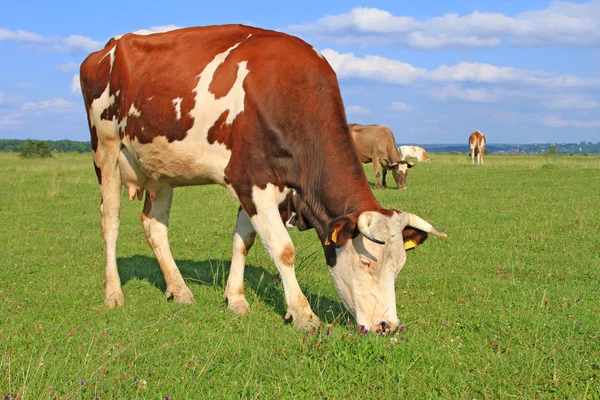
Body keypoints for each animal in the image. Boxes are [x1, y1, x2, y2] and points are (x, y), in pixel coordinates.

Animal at [79, 23, 446, 332]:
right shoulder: (250, 180)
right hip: (106, 148)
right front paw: (302, 313)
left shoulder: (259, 185)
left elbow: (244, 241)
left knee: (155, 226)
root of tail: (110, 46)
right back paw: (114, 293)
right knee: (110, 221)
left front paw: (236, 299)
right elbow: (282, 249)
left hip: (159, 170)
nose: (388, 326)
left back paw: (179, 289)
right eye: (366, 263)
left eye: (399, 267)